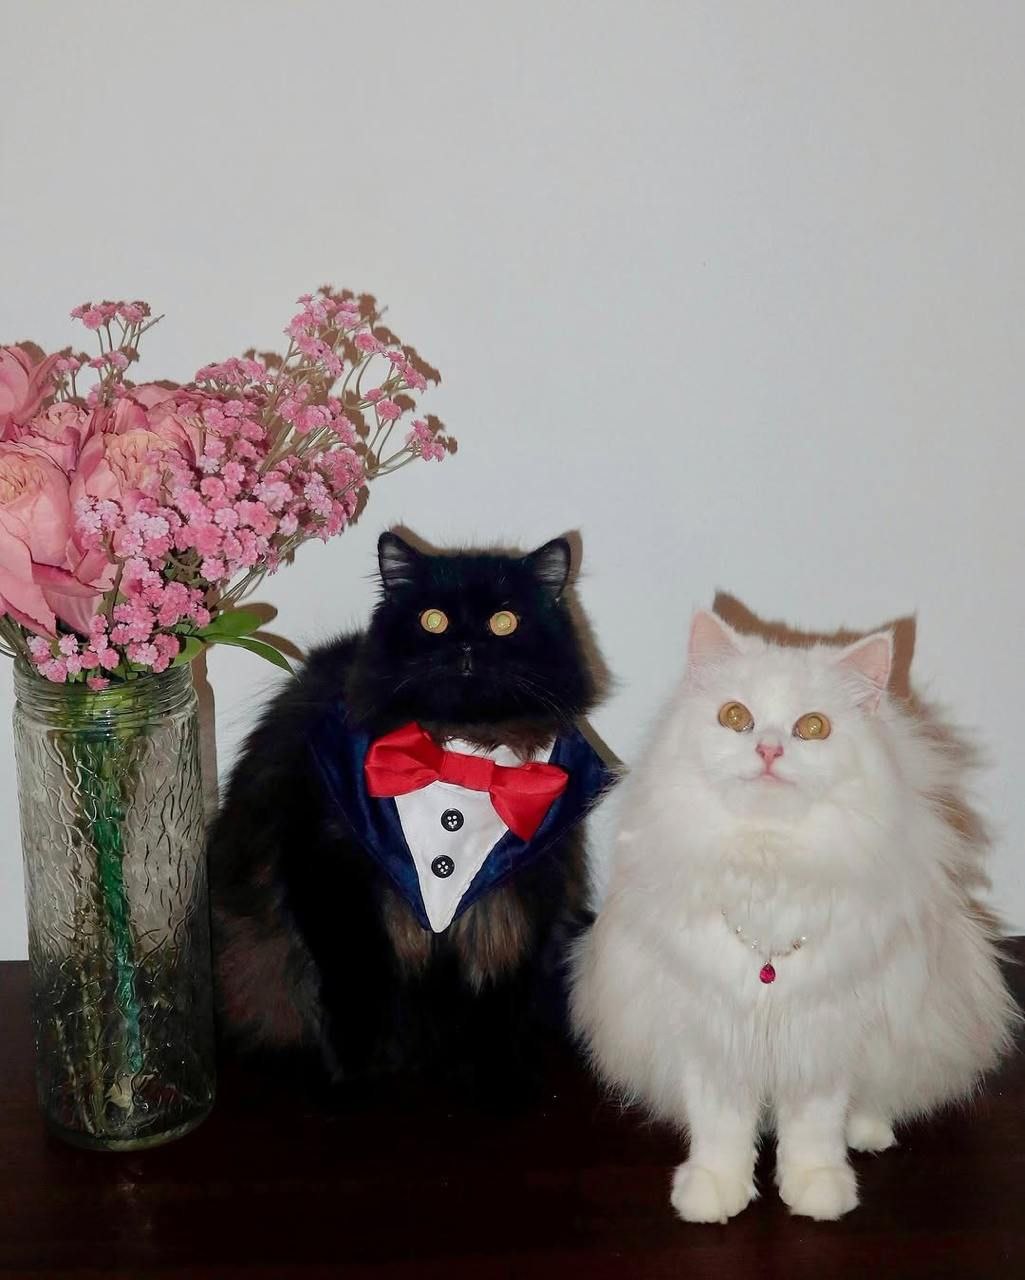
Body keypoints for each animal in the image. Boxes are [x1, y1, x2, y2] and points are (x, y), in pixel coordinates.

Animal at [209, 531, 613, 1097]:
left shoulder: (516, 903)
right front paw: (354, 1079)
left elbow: (498, 1005)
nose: (466, 646)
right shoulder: (330, 881)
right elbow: (353, 997)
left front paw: (501, 1079)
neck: (463, 759)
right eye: (433, 620)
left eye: (504, 621)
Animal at [570, 610, 1016, 1222]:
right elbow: (720, 1127)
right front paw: (712, 1194)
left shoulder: (824, 1036)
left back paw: (869, 1135)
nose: (768, 751)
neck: (770, 864)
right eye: (736, 717)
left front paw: (819, 1193)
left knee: (875, 1103)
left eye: (813, 727)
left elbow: (813, 1128)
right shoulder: (711, 1034)